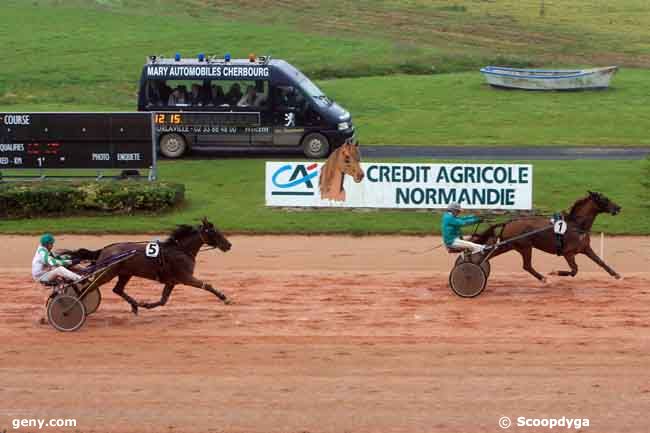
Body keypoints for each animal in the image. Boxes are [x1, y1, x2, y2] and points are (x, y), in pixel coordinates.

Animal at [65, 216, 230, 314]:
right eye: (214, 232)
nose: (229, 245)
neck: (181, 250)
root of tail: (105, 250)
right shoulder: (185, 277)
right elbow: (207, 285)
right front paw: (224, 298)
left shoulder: (172, 281)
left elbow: (163, 300)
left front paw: (146, 305)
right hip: (106, 274)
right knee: (87, 289)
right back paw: (73, 307)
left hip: (125, 273)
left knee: (117, 289)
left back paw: (135, 305)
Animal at [468, 192, 620, 280]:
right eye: (605, 199)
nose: (618, 208)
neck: (576, 225)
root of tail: (509, 222)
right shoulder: (568, 253)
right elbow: (574, 270)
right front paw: (555, 273)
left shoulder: (585, 248)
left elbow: (600, 262)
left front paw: (616, 274)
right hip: (525, 246)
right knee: (526, 266)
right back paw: (543, 278)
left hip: (509, 245)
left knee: (488, 254)